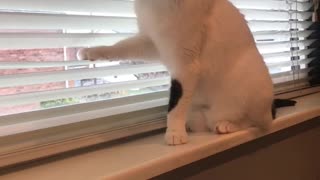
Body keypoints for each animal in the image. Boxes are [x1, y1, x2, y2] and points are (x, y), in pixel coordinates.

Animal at [79, 0, 274, 146]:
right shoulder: (152, 42)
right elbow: (122, 47)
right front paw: (92, 51)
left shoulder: (185, 64)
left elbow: (176, 104)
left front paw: (174, 133)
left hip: (253, 78)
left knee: (262, 121)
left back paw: (227, 125)